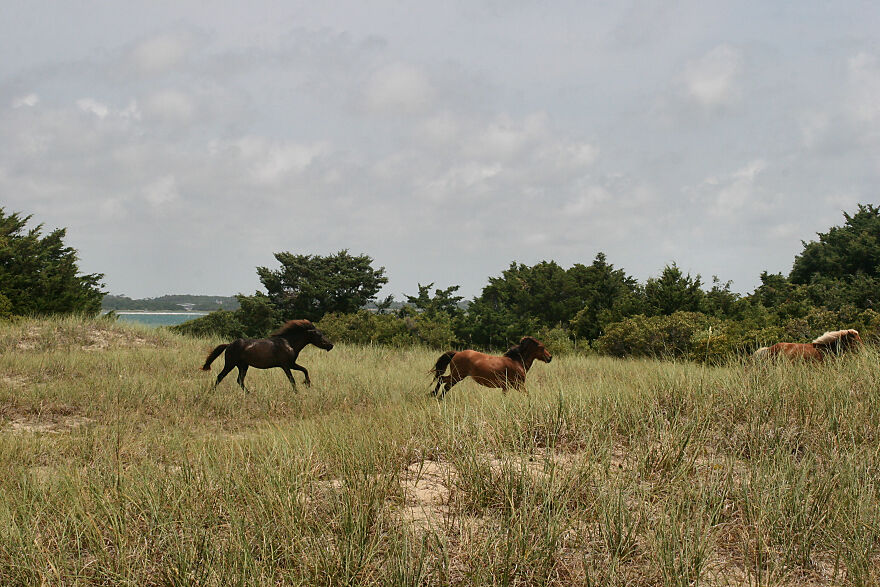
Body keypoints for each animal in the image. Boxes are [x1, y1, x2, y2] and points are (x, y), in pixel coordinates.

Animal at [201, 319, 333, 391]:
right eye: (319, 335)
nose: (331, 345)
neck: (289, 343)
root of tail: (229, 345)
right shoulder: (286, 365)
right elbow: (292, 379)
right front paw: (298, 391)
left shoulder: (291, 364)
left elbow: (305, 370)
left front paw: (307, 384)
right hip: (230, 364)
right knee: (220, 376)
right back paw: (212, 392)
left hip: (243, 366)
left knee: (239, 380)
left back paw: (249, 394)